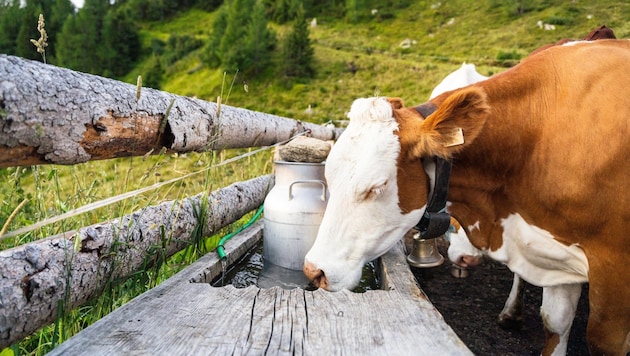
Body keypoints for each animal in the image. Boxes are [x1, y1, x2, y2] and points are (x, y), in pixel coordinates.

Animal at [304, 37, 628, 354]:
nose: (314, 270)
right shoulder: (554, 253)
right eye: (329, 176)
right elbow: (556, 322)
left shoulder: (612, 273)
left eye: (377, 186)